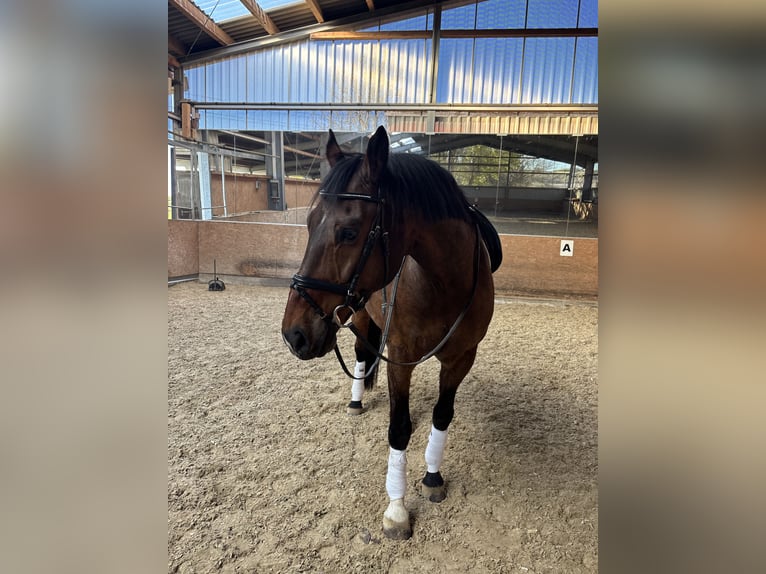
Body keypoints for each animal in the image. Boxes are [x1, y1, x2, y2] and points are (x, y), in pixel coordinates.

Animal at [281, 126, 502, 540]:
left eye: (349, 232)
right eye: (309, 224)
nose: (294, 334)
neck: (442, 284)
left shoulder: (462, 357)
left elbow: (442, 415)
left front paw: (432, 477)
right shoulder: (400, 357)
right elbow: (399, 429)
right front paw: (397, 510)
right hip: (359, 318)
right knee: (361, 354)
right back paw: (356, 402)